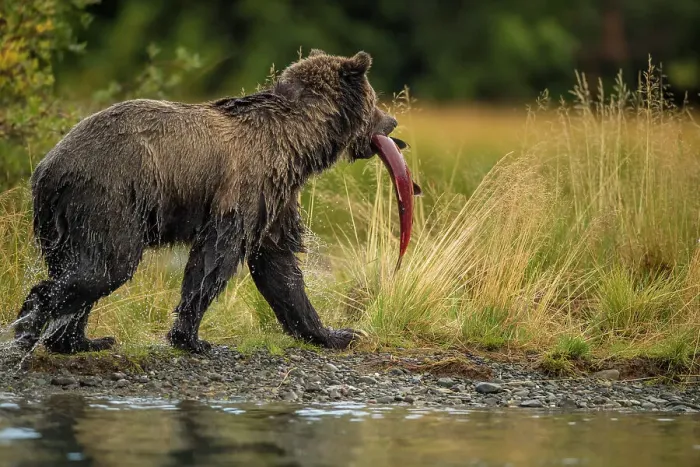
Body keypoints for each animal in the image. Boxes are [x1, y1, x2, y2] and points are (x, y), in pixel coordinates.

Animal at [14, 49, 398, 354]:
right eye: (375, 99)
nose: (392, 121)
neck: (298, 143)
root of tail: (46, 168)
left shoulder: (276, 198)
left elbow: (280, 267)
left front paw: (337, 333)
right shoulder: (245, 187)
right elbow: (215, 258)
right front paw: (192, 338)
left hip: (61, 219)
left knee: (79, 271)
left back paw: (81, 341)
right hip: (109, 199)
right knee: (103, 267)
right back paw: (29, 328)